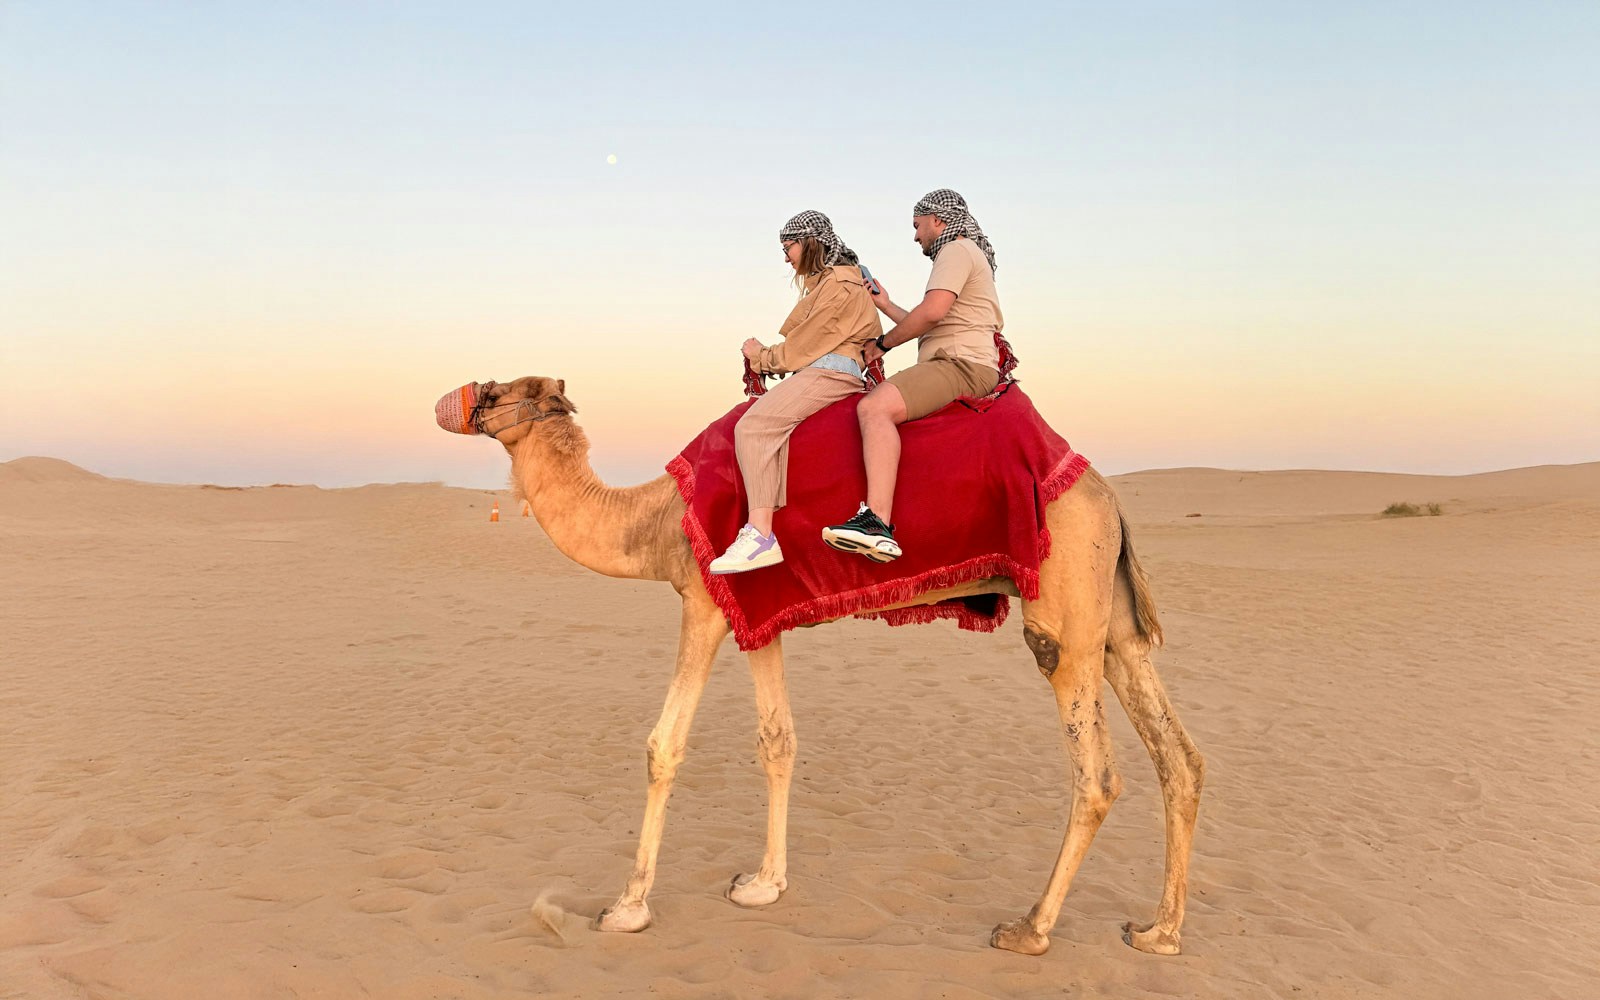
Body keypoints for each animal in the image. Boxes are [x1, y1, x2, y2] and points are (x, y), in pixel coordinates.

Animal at [448, 376, 1205, 956]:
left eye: (501, 390)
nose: (458, 402)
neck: (657, 520)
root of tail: (1107, 496)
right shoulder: (757, 615)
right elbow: (778, 740)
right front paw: (763, 884)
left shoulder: (703, 602)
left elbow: (664, 746)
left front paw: (626, 908)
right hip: (1112, 623)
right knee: (1180, 755)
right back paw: (1160, 931)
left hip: (1064, 605)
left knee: (1096, 772)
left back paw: (1029, 929)